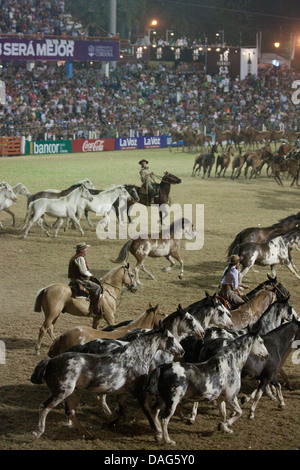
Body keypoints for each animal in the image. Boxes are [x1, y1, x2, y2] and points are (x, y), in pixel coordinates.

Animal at [31, 324, 184, 440]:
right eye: (170, 337)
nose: (182, 351)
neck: (135, 357)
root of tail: (50, 361)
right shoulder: (139, 391)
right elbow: (146, 410)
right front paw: (158, 433)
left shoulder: (122, 393)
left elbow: (122, 411)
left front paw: (112, 422)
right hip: (62, 392)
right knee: (44, 407)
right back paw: (38, 432)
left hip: (74, 392)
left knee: (70, 412)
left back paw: (88, 434)